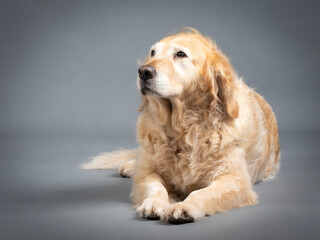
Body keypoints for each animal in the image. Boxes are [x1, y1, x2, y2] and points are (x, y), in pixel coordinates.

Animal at [83, 28, 280, 225]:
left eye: (180, 54)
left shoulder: (235, 180)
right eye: (153, 53)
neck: (182, 127)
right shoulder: (147, 174)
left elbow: (201, 193)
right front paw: (154, 203)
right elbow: (155, 186)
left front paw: (184, 206)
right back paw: (130, 166)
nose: (143, 71)